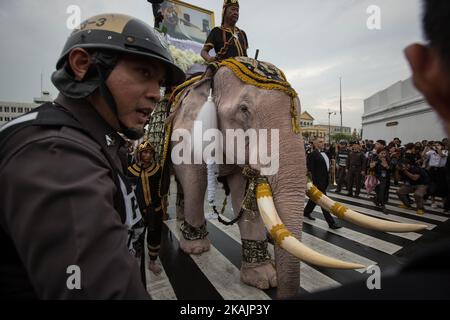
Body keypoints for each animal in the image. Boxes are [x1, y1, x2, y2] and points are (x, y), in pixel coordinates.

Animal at [167, 57, 428, 298]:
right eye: (244, 110)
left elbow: (244, 196)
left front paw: (263, 278)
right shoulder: (187, 134)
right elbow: (195, 180)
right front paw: (197, 250)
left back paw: (180, 224)